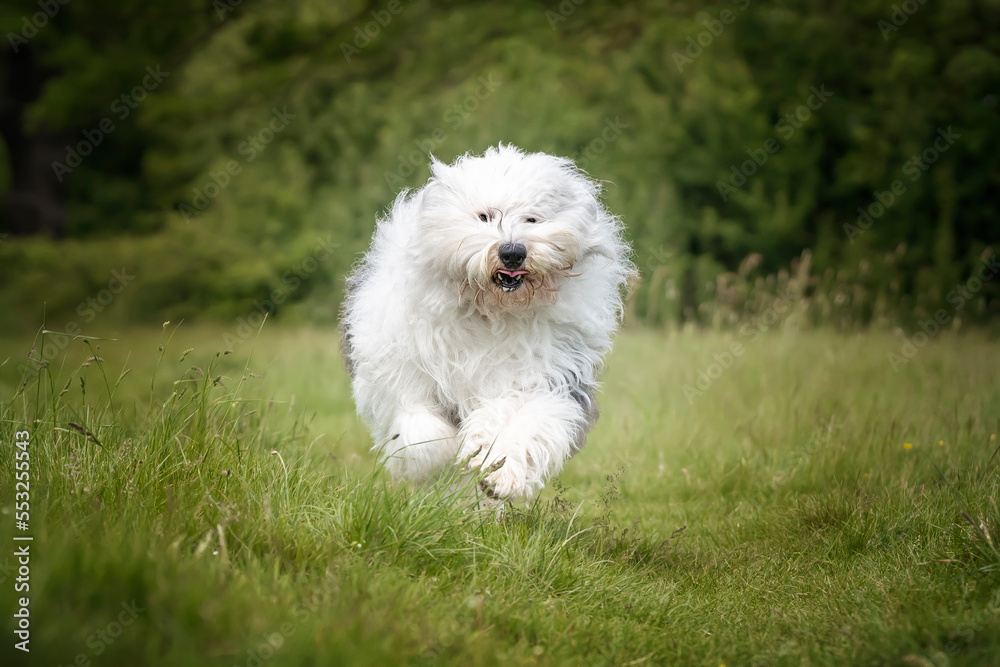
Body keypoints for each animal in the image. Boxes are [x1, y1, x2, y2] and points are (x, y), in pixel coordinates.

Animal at [342, 144, 632, 504]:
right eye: (484, 216)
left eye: (532, 218)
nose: (512, 252)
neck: (490, 312)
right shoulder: (398, 376)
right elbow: (420, 428)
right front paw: (440, 457)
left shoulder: (549, 375)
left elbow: (526, 420)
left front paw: (500, 472)